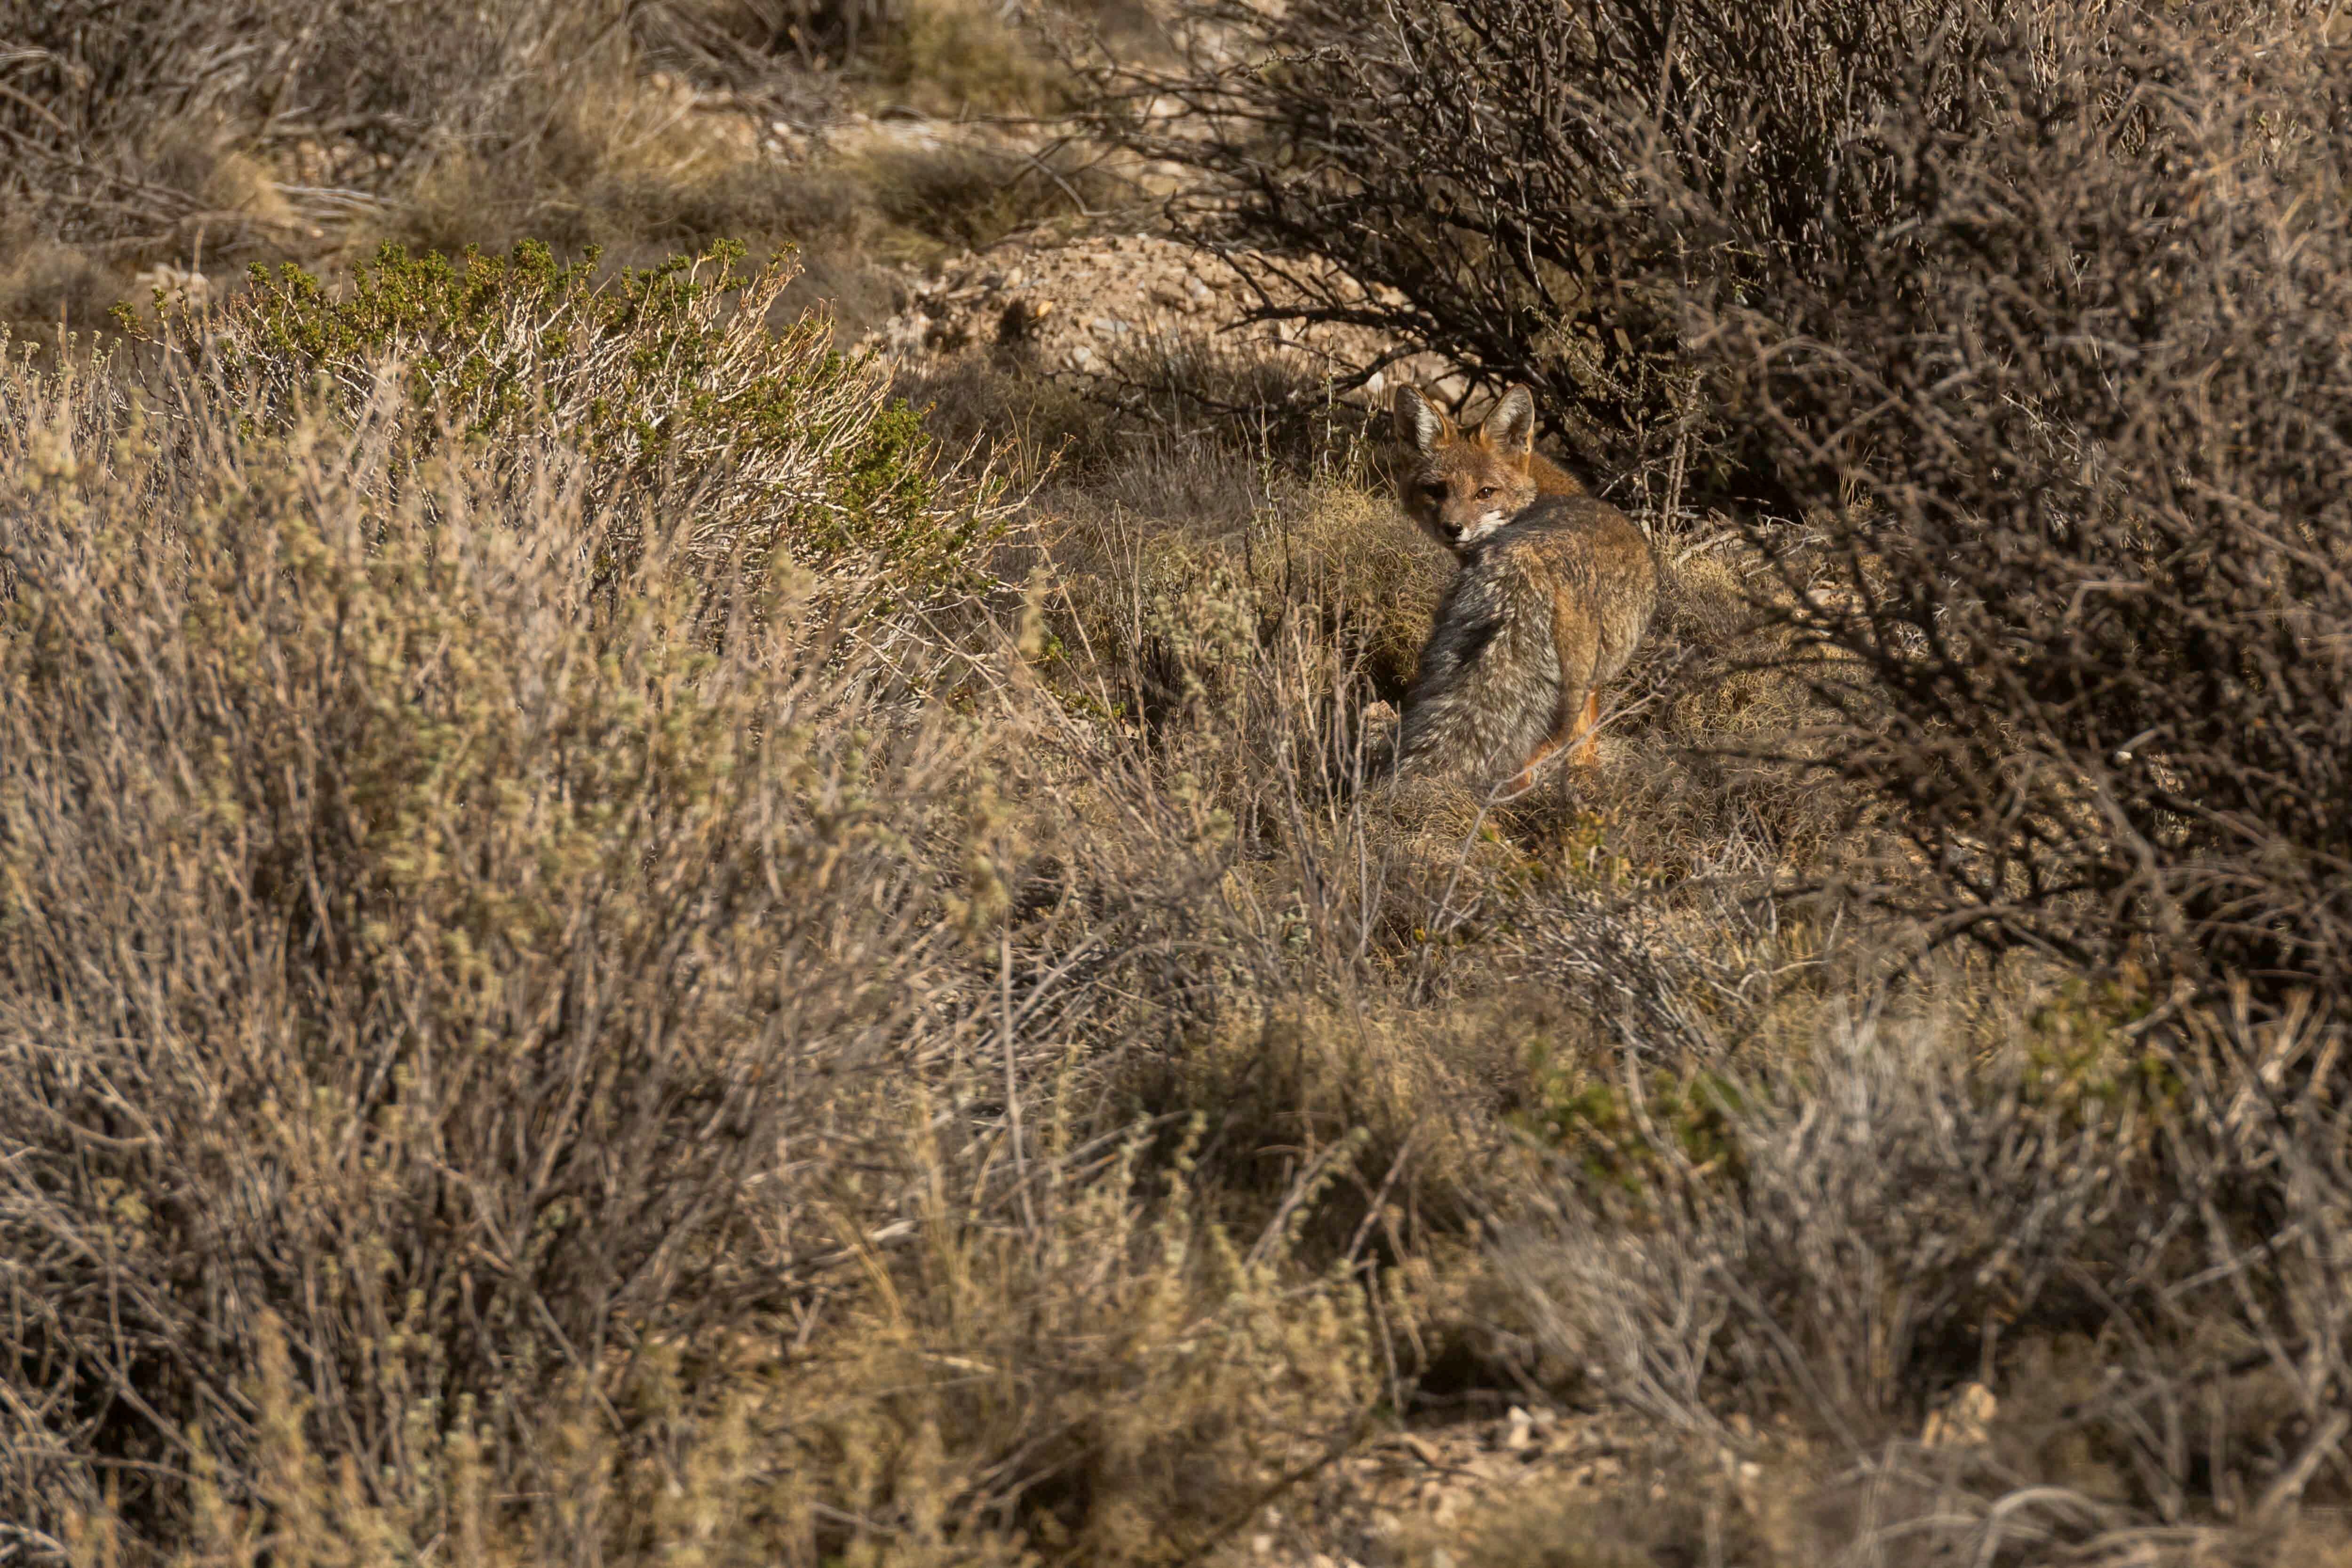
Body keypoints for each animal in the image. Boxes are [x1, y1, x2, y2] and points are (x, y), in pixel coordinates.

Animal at [1383, 381, 1665, 799]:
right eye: (1437, 490)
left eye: (1485, 492)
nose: (1453, 528)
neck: (1539, 493)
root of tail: (1526, 561)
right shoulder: (1591, 687)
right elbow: (1587, 746)